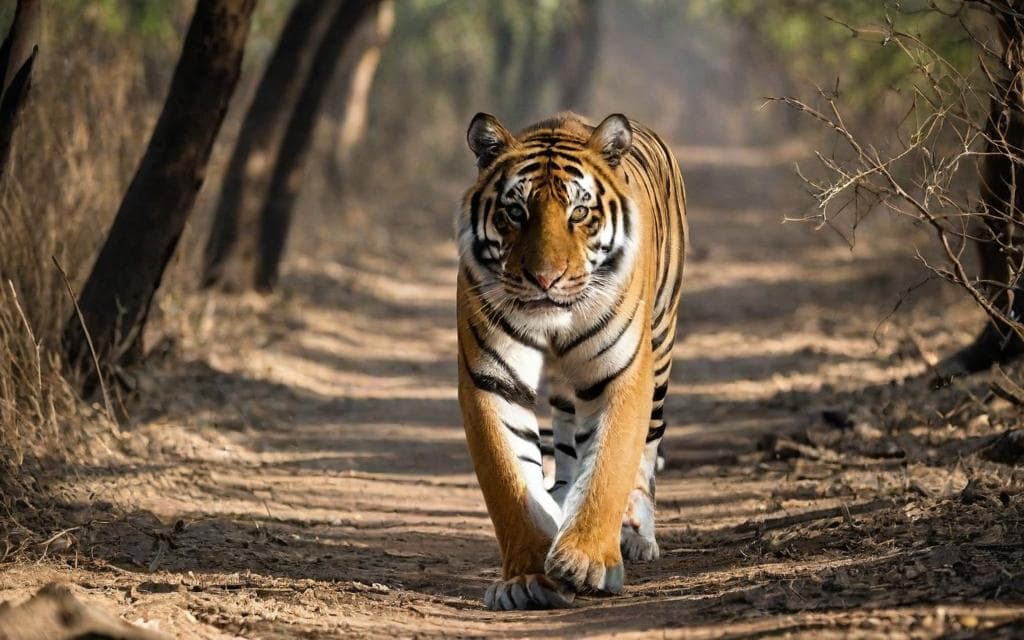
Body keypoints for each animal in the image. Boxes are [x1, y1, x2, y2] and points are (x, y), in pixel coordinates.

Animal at [456, 111, 687, 610]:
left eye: (578, 212)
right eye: (515, 212)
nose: (545, 279)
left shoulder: (624, 373)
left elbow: (610, 463)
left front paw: (587, 562)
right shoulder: (491, 377)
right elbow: (509, 478)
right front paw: (524, 578)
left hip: (661, 348)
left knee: (646, 450)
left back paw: (637, 534)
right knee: (565, 444)